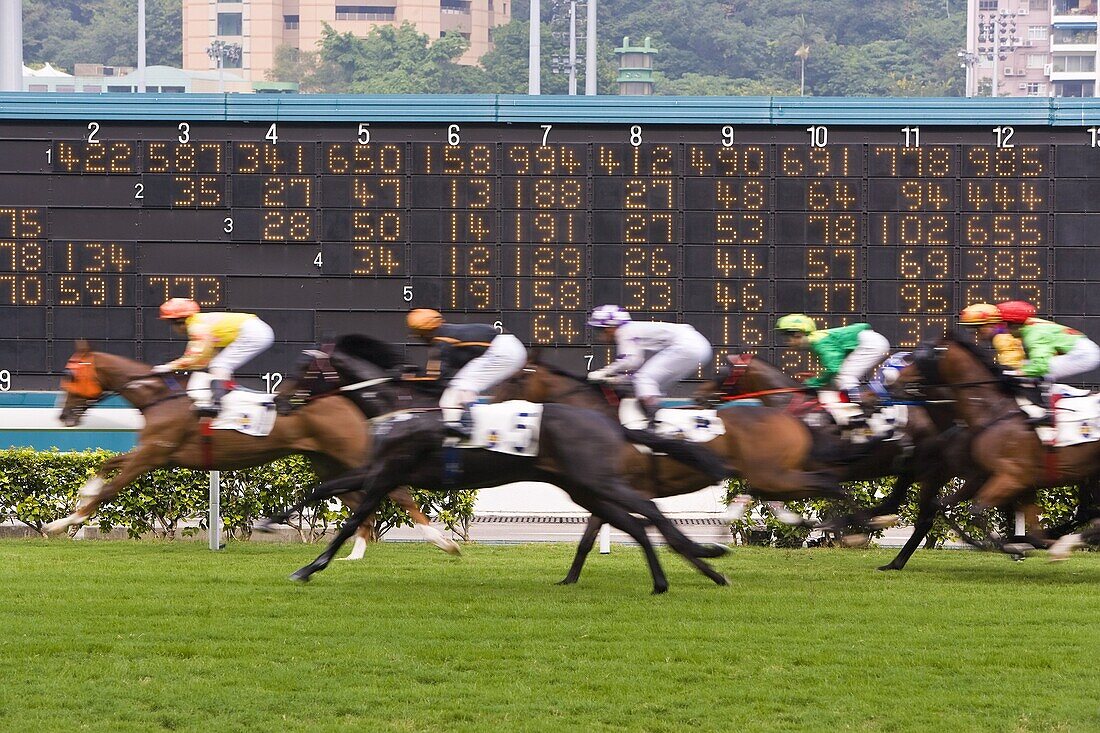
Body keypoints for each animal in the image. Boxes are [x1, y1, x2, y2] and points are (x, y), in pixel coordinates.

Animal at [46, 341, 459, 554]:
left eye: (69, 374)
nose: (63, 415)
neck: (159, 396)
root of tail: (345, 397)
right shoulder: (152, 452)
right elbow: (103, 469)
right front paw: (76, 503)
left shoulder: (154, 454)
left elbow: (110, 488)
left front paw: (62, 522)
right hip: (324, 461)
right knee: (359, 500)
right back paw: (356, 551)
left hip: (351, 452)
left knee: (397, 491)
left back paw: (441, 541)